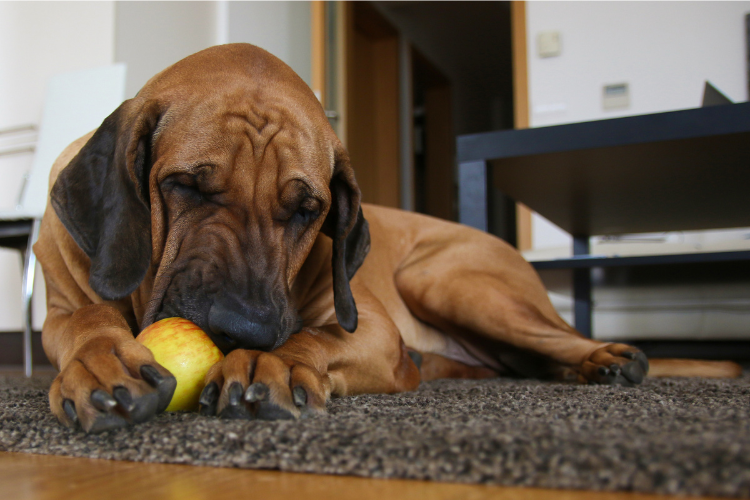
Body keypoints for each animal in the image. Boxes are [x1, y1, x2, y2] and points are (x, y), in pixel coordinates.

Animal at [33, 44, 740, 434]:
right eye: (184, 186)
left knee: (557, 338)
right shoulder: (64, 307)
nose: (245, 330)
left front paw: (271, 361)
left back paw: (607, 359)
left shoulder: (367, 325)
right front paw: (101, 361)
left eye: (307, 210)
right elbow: (86, 322)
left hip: (444, 279)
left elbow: (319, 335)